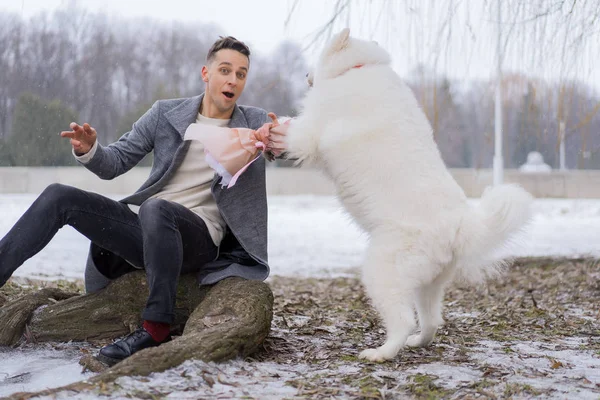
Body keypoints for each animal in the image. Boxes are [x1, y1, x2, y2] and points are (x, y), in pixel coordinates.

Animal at [284, 28, 532, 362]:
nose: (307, 75)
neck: (358, 68)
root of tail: (460, 226)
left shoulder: (310, 133)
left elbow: (289, 133)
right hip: (427, 286)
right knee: (431, 322)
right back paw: (417, 342)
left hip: (382, 272)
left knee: (403, 321)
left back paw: (381, 353)